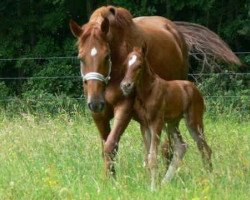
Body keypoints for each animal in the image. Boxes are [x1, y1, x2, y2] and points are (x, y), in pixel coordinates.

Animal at [120, 46, 212, 189]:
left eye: (139, 65)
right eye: (125, 65)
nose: (125, 85)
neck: (148, 92)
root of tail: (194, 89)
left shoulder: (156, 123)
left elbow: (152, 158)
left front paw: (153, 188)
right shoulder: (144, 125)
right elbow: (147, 157)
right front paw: (150, 184)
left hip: (194, 122)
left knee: (205, 148)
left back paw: (211, 178)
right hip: (172, 123)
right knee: (181, 146)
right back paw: (165, 182)